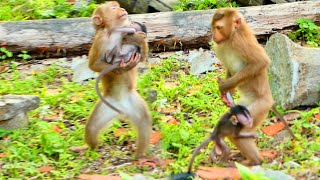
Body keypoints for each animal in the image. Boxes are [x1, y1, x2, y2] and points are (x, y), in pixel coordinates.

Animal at [85, 1, 152, 159]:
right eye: (113, 8)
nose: (121, 8)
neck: (112, 32)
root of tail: (121, 108)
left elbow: (142, 55)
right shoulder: (100, 39)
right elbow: (93, 65)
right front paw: (122, 67)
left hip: (132, 102)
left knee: (144, 121)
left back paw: (139, 157)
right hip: (107, 104)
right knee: (92, 128)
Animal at [211, 8, 296, 165]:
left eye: (218, 27)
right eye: (213, 27)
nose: (213, 35)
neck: (232, 36)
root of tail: (270, 100)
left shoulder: (241, 43)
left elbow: (260, 62)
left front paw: (224, 87)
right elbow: (230, 70)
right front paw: (225, 94)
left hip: (259, 108)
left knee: (241, 131)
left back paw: (254, 161)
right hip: (243, 106)